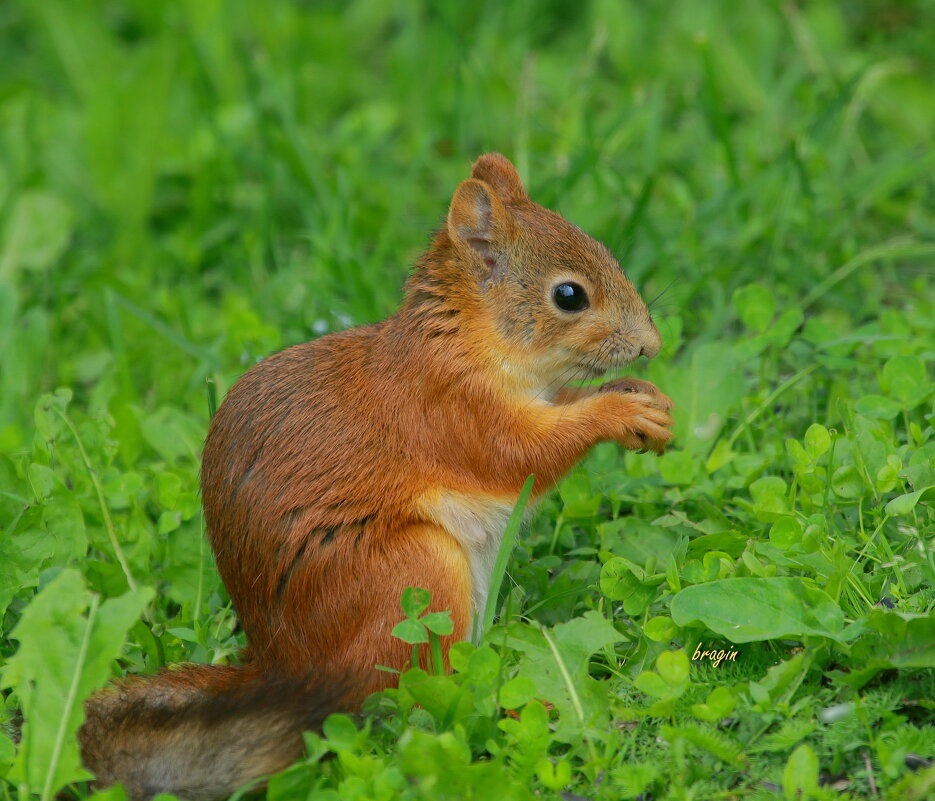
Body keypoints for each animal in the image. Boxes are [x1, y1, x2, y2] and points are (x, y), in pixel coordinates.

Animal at [78, 153, 672, 796]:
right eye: (569, 295)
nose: (652, 344)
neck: (468, 340)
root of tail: (283, 668)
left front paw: (639, 397)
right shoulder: (451, 410)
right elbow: (523, 456)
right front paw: (616, 413)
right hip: (411, 576)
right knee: (417, 697)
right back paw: (518, 710)